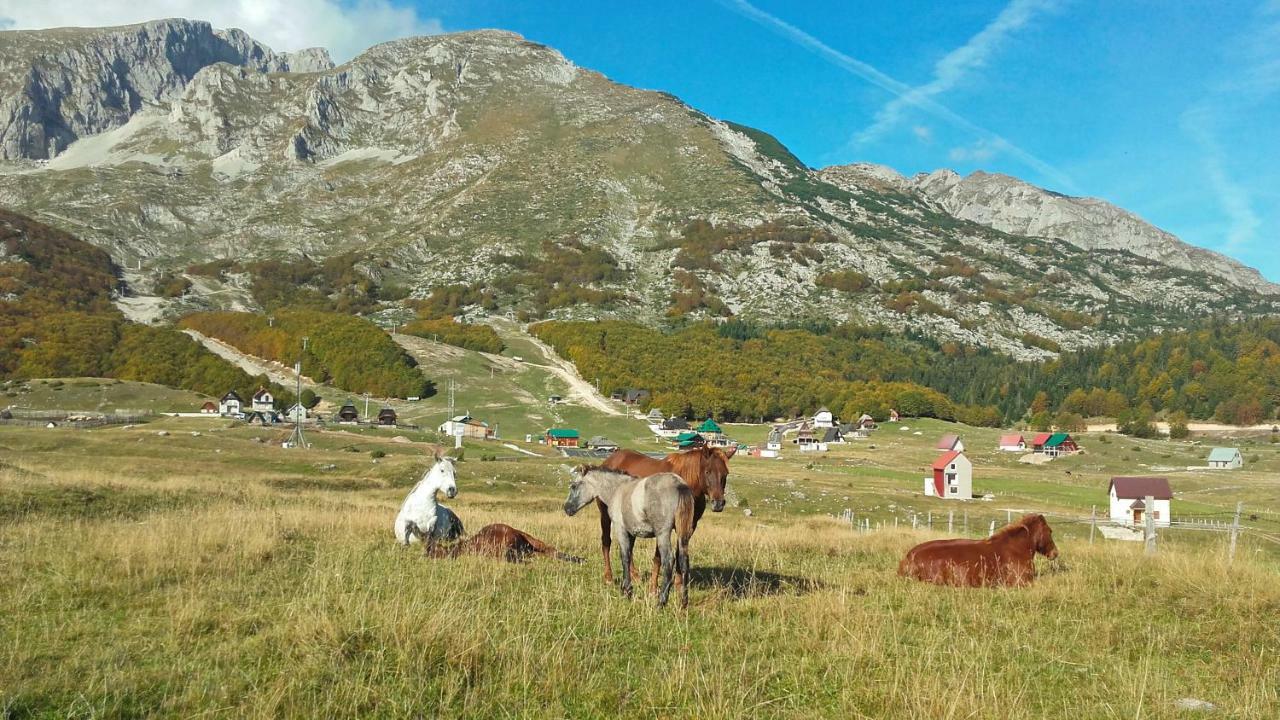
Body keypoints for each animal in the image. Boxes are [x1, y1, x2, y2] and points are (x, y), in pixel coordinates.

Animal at [565, 466, 696, 604]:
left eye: (574, 486)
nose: (566, 508)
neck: (617, 490)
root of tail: (679, 485)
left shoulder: (621, 529)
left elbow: (624, 558)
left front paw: (626, 591)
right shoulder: (631, 533)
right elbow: (629, 555)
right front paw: (627, 588)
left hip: (663, 534)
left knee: (669, 560)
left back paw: (661, 602)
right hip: (682, 534)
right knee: (684, 561)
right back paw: (683, 602)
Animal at [596, 443, 732, 589]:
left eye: (726, 473)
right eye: (707, 472)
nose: (718, 504)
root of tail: (609, 461)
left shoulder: (688, 527)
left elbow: (679, 553)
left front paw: (678, 585)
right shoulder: (662, 528)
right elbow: (658, 557)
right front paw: (653, 588)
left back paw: (635, 576)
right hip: (605, 515)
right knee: (606, 542)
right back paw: (608, 577)